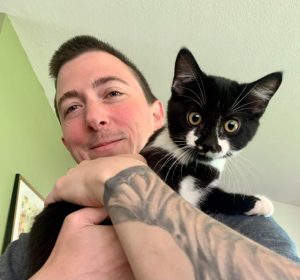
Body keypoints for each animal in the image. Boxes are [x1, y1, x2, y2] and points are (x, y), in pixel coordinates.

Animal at [141, 47, 282, 215]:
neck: (197, 168)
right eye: (195, 117)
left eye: (231, 125)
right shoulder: (156, 158)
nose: (209, 144)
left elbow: (215, 198)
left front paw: (260, 203)